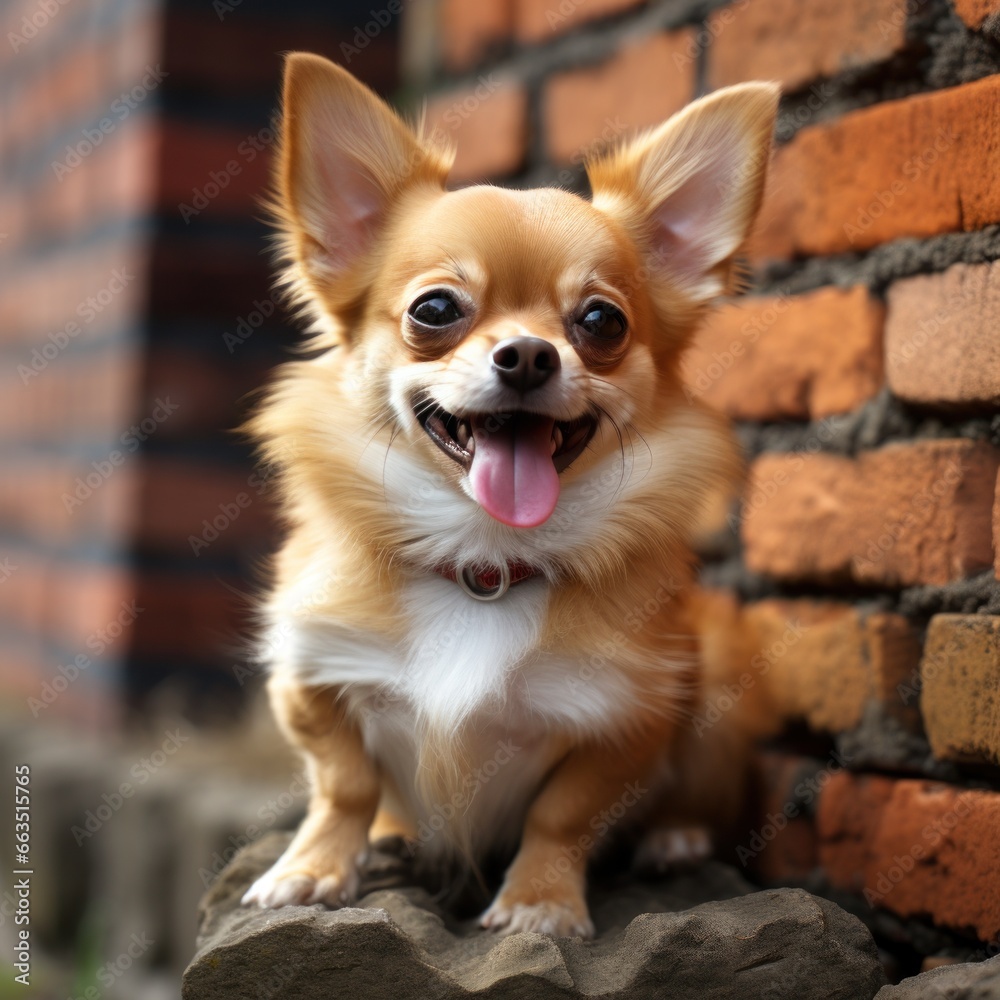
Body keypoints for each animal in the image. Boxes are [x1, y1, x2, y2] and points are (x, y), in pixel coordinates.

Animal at [244, 56, 780, 936]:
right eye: (435, 309)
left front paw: (539, 901)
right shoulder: (311, 676)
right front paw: (314, 869)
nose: (529, 354)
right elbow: (343, 784)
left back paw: (674, 838)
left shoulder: (628, 717)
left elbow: (563, 814)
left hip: (720, 680)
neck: (484, 560)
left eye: (601, 320)